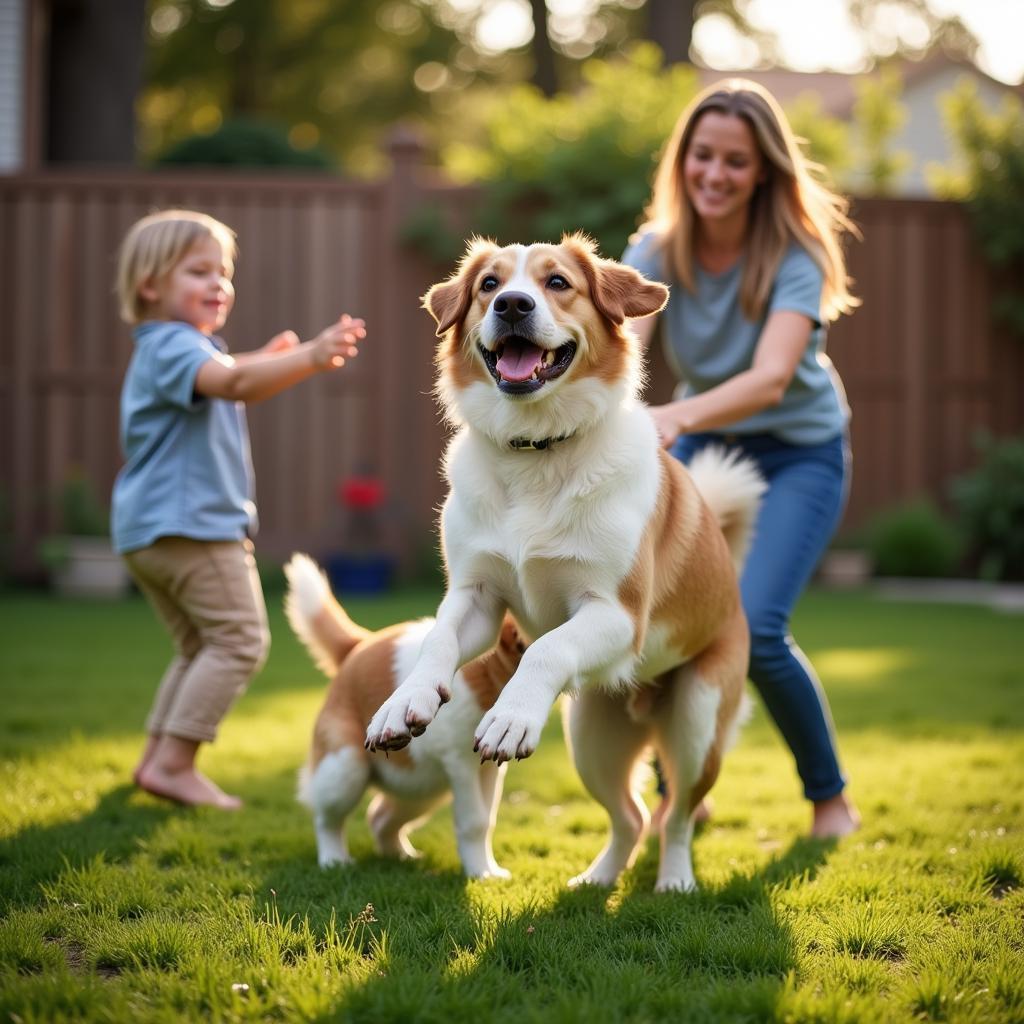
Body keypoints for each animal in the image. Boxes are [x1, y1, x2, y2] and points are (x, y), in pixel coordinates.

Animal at [288, 557, 528, 876]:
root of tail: (359, 645)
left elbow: (486, 820)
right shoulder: (460, 763)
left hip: (420, 789)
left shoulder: (489, 768)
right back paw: (334, 859)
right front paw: (479, 874)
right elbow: (474, 822)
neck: (489, 672)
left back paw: (400, 856)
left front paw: (490, 872)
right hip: (345, 767)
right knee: (327, 820)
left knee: (379, 817)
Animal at [364, 234, 765, 888]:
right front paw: (405, 702)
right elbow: (439, 642)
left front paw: (510, 717)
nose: (513, 305)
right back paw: (597, 880)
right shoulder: (476, 597)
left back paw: (675, 879)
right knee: (630, 816)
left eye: (557, 283)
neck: (537, 451)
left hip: (697, 723)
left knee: (676, 813)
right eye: (489, 285)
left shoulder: (617, 616)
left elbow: (547, 649)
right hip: (592, 739)